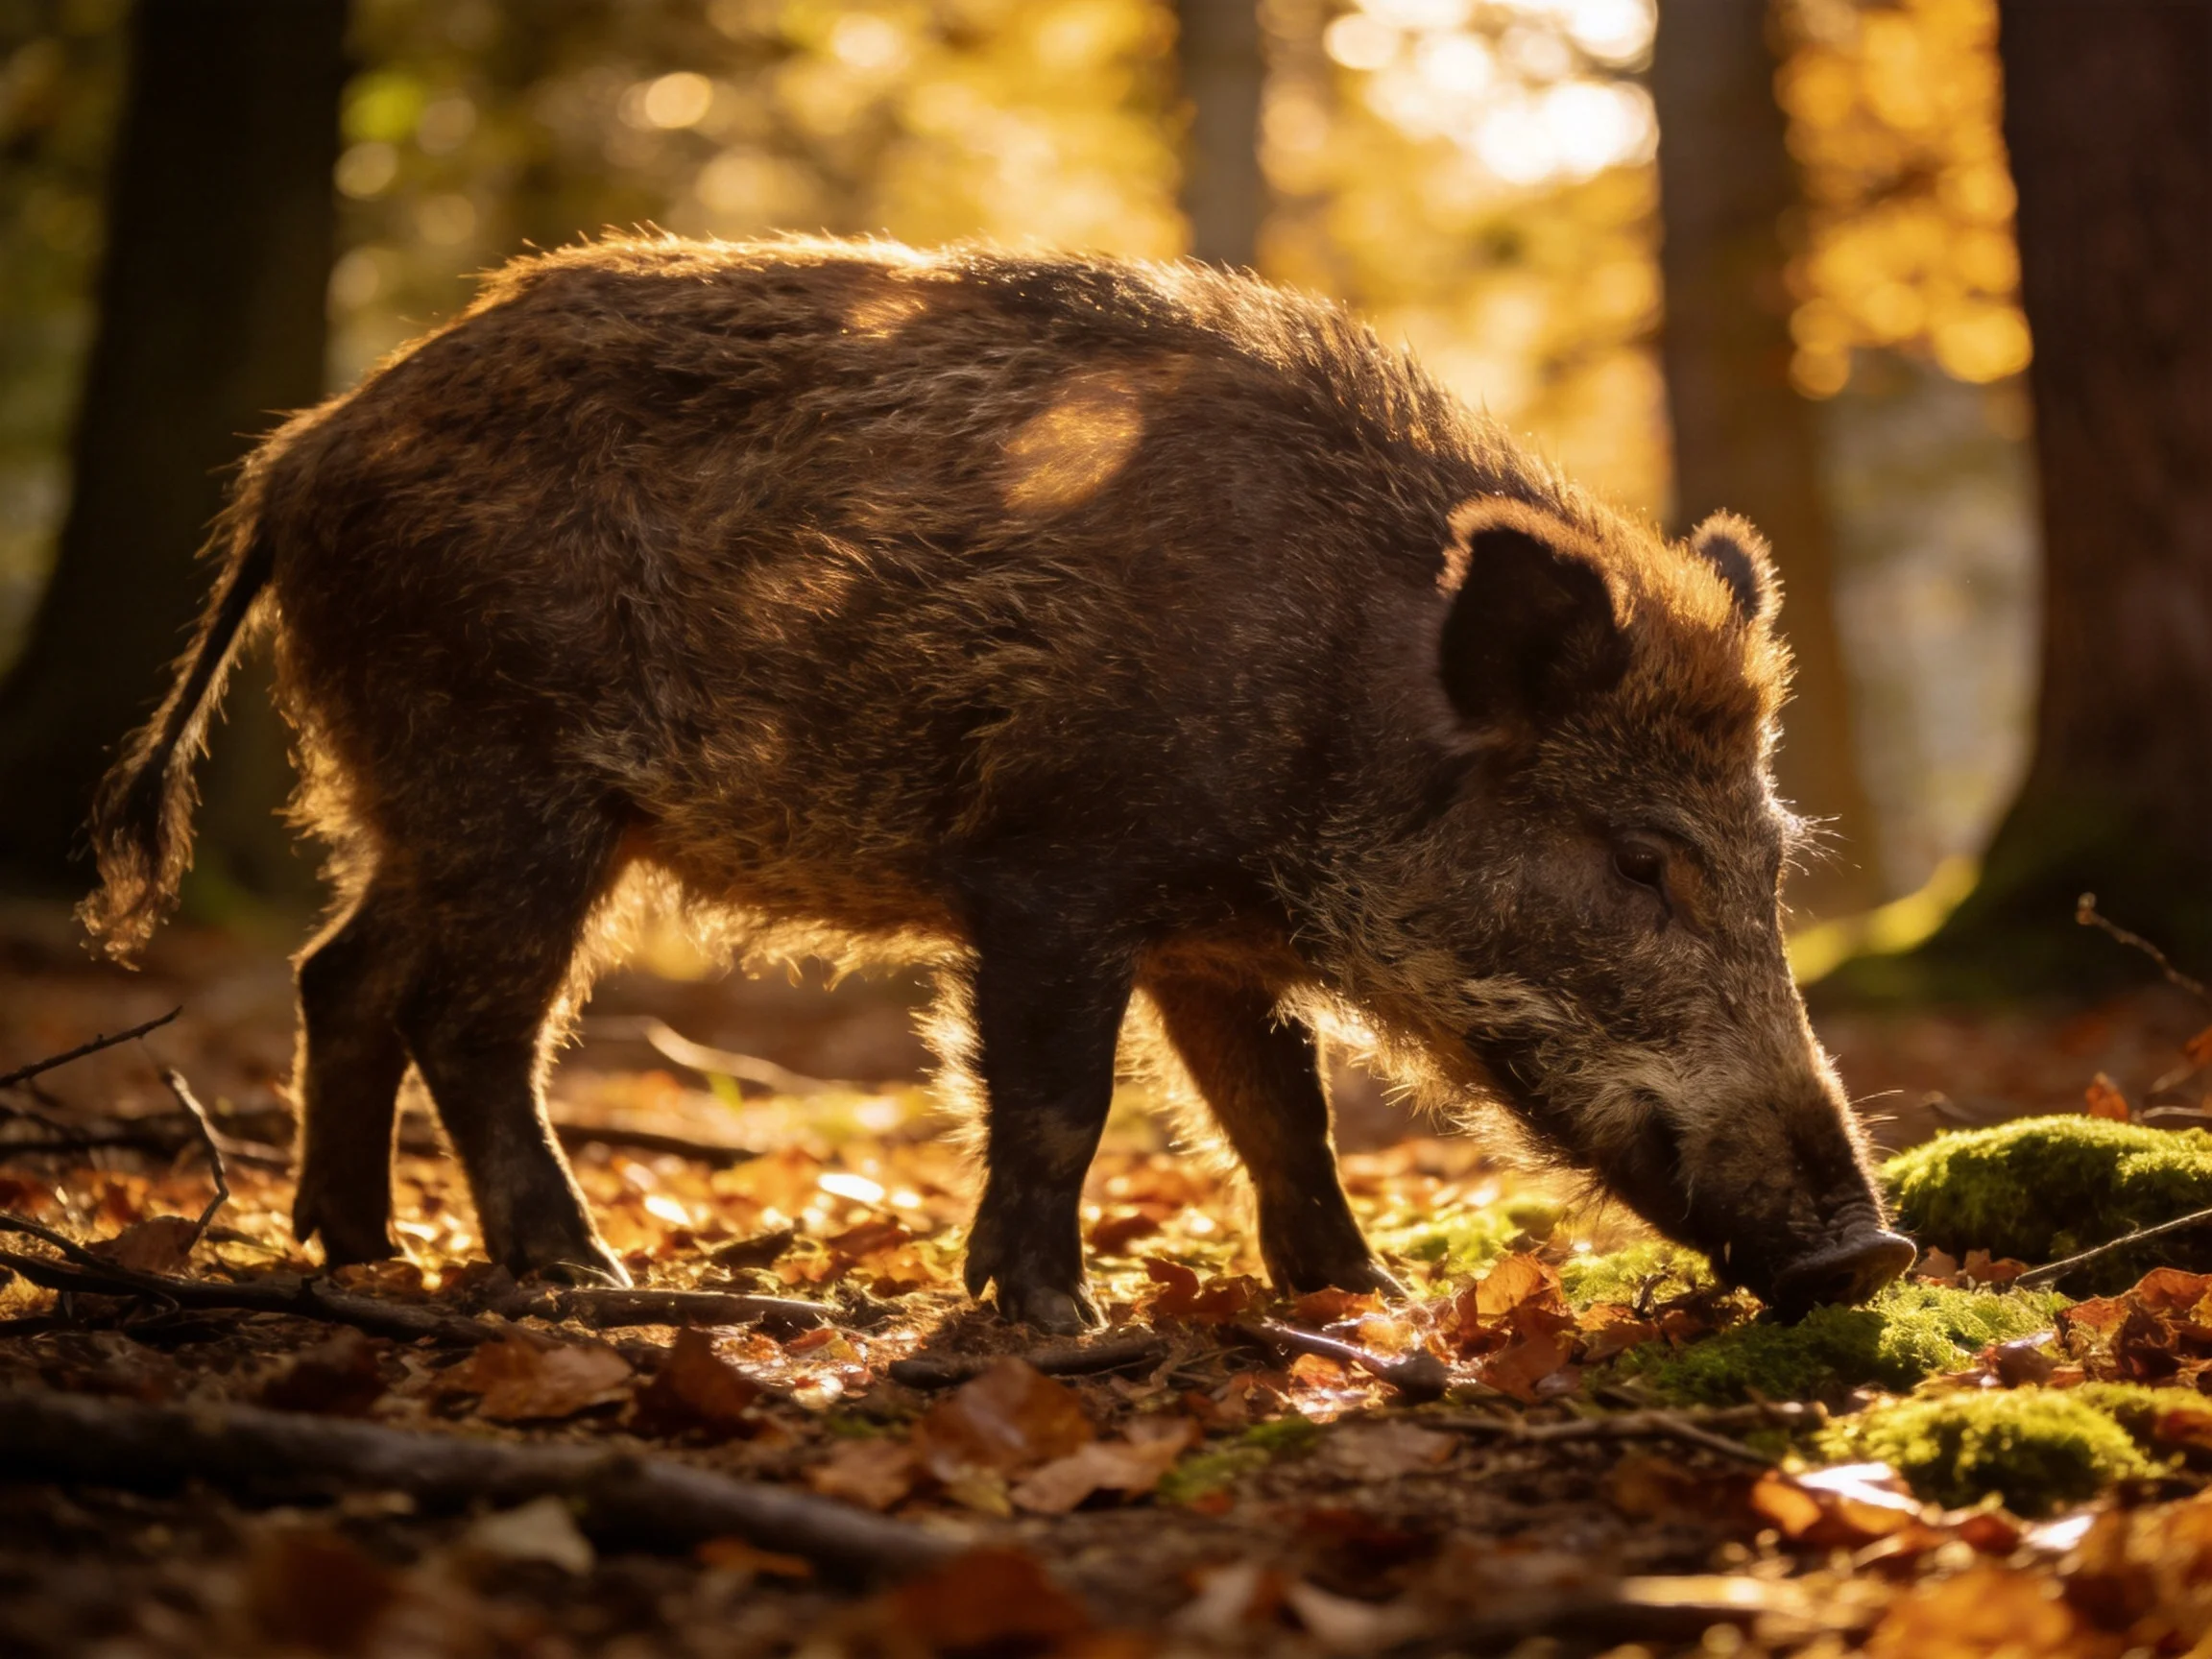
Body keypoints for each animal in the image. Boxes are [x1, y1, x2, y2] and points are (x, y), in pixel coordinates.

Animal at [83, 236, 1914, 1331]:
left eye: (1771, 861)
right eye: (1639, 858)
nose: (1870, 1248)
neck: (1333, 698)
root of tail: (299, 455)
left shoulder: (1208, 936)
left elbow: (1280, 1108)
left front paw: (1365, 1299)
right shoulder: (1049, 868)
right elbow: (1060, 1099)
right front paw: (1050, 1320)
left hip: (421, 798)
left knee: (341, 973)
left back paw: (352, 1249)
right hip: (511, 787)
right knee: (470, 1018)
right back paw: (571, 1268)